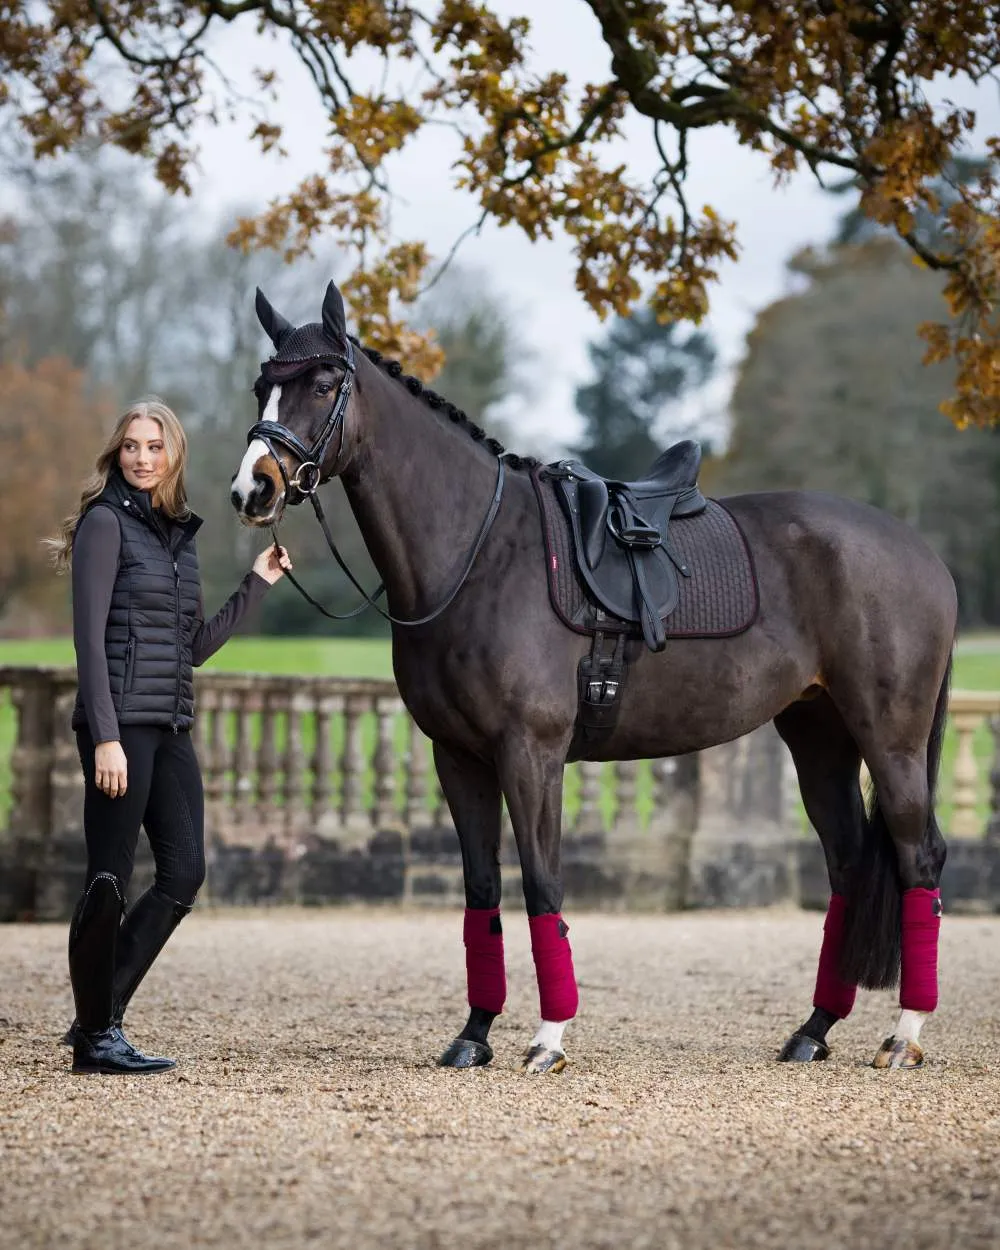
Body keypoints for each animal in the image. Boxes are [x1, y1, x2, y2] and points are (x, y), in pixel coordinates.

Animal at [230, 281, 955, 1075]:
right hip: (820, 737)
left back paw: (904, 1035)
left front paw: (548, 1038)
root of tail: (923, 553)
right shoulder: (458, 758)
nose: (253, 488)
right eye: (264, 386)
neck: (479, 554)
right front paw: (474, 1033)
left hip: (890, 739)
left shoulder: (531, 753)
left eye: (324, 384)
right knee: (851, 867)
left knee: (919, 859)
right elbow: (482, 890)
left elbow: (543, 882)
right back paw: (814, 1029)